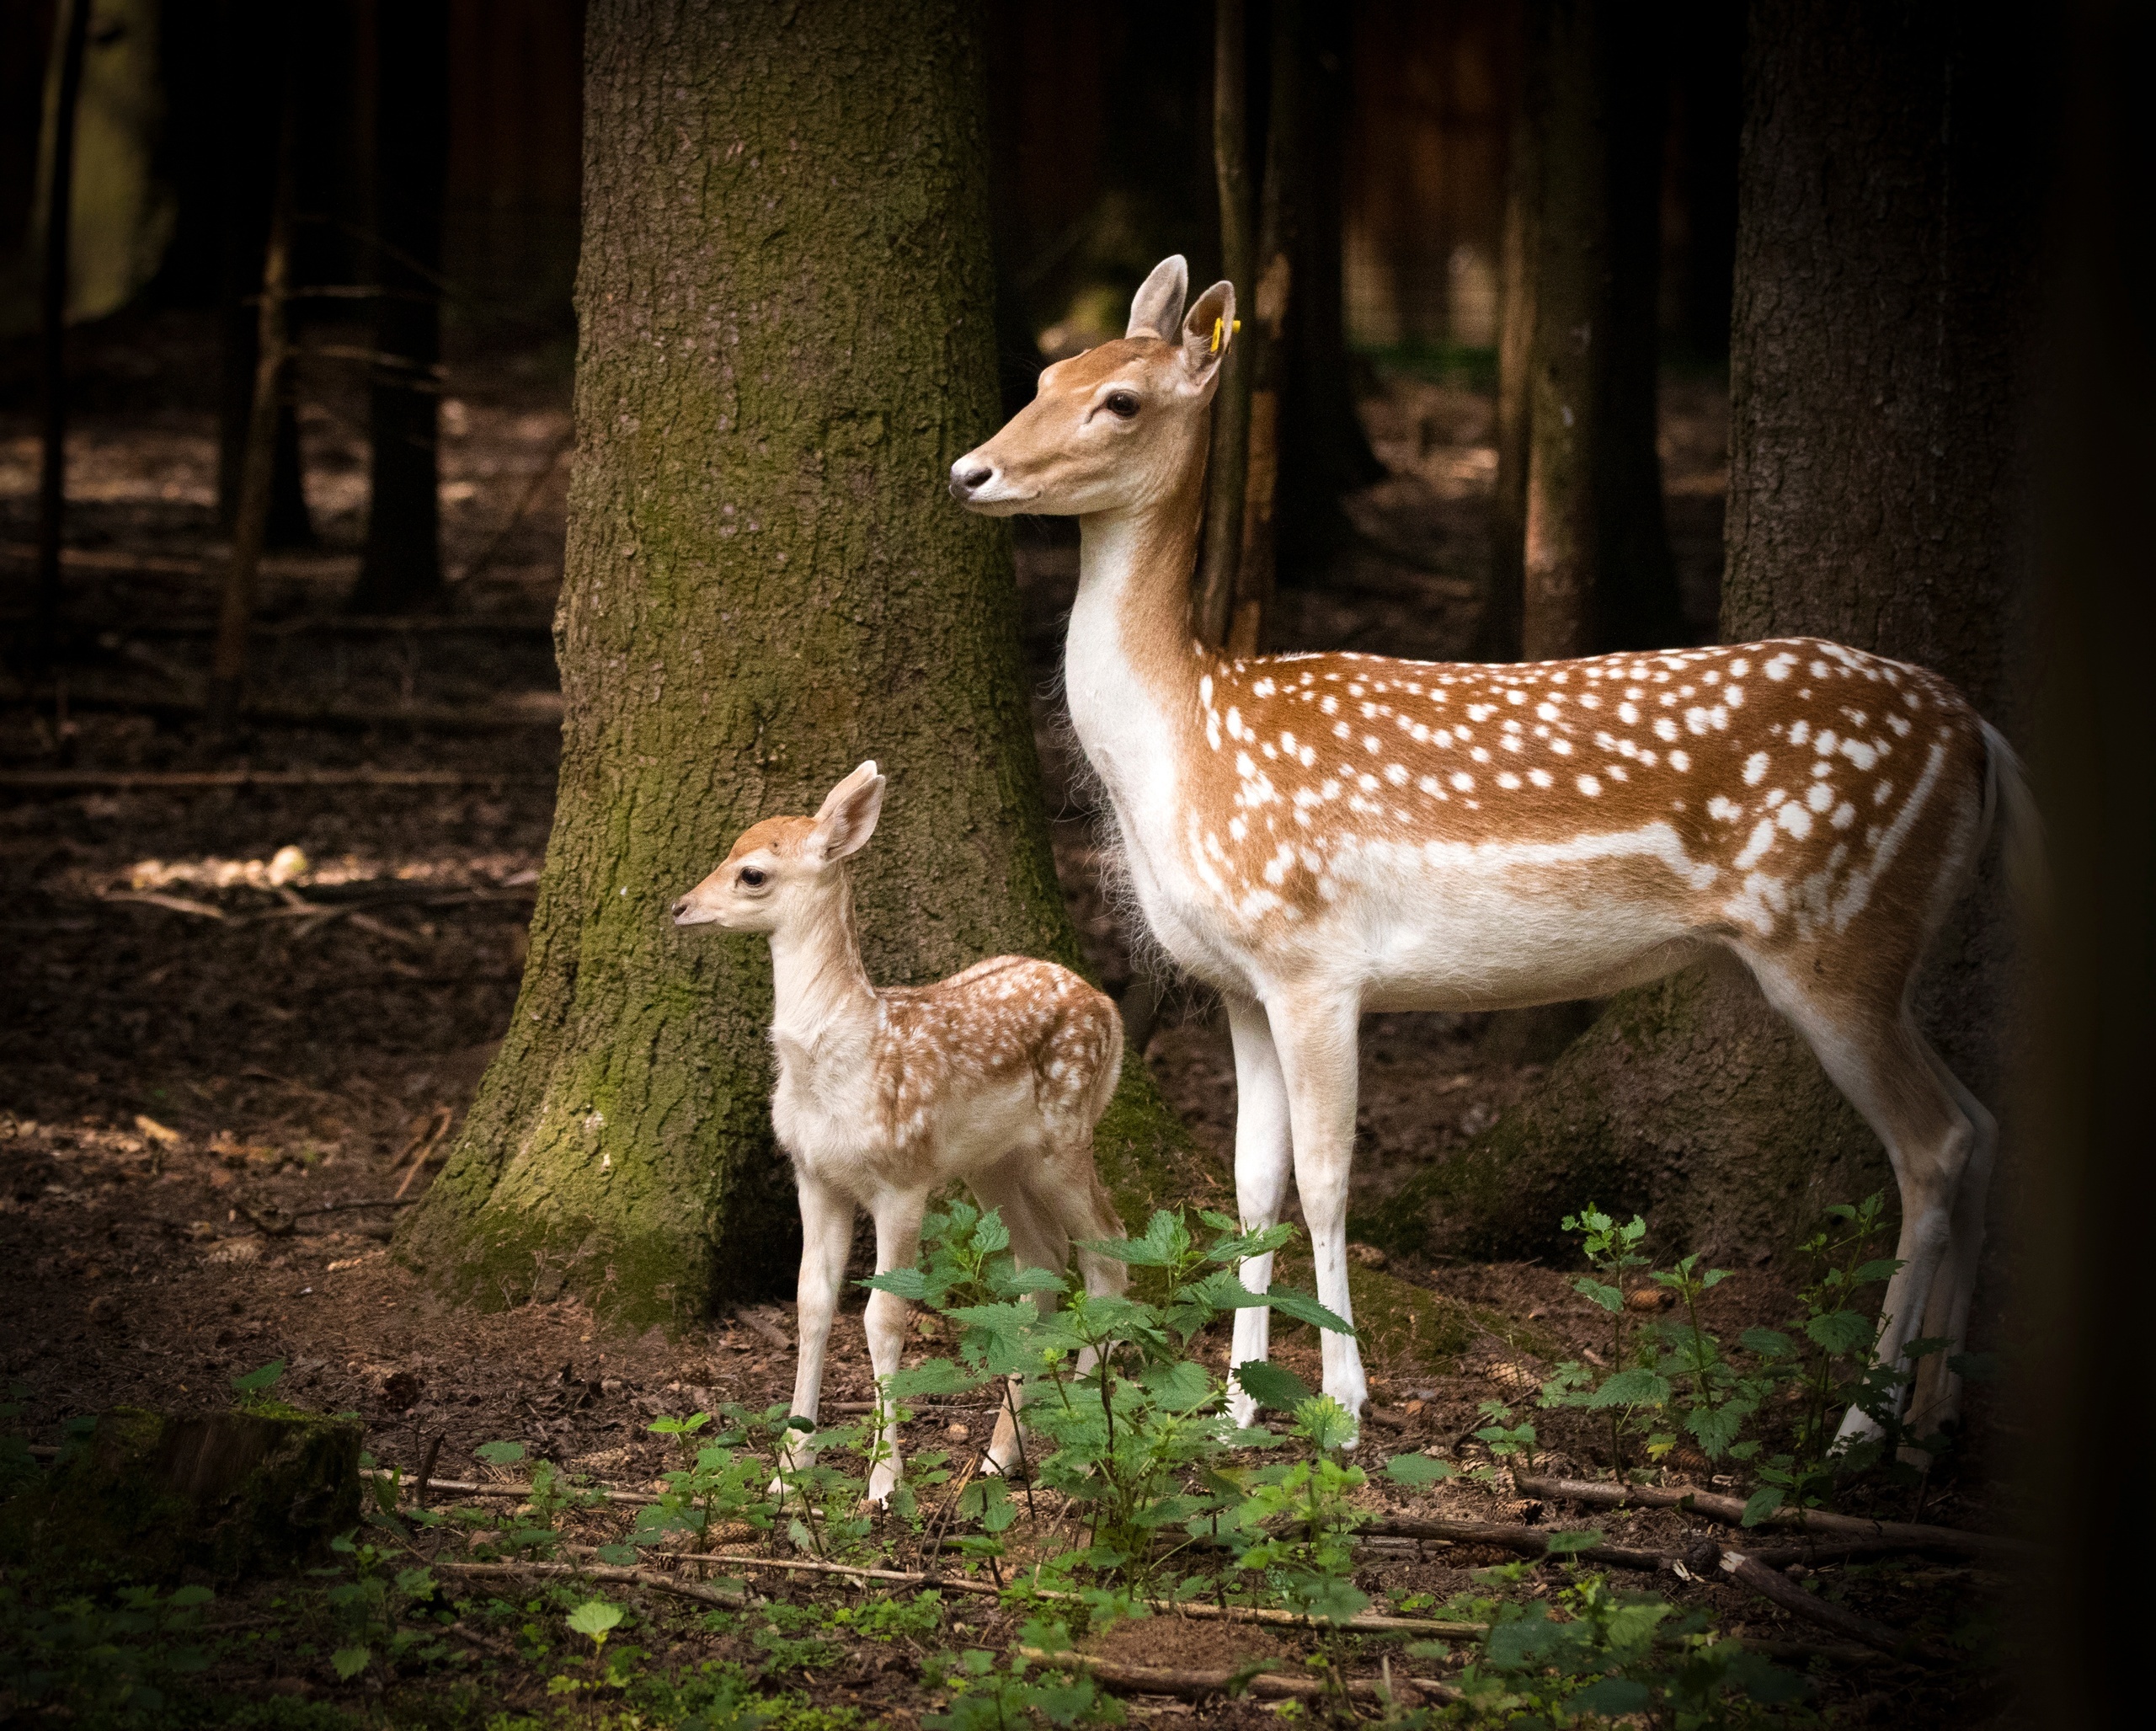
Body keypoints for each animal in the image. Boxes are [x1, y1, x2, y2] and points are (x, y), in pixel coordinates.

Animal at [948, 257, 2035, 1448]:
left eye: (1120, 400)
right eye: (1047, 373)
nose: (969, 471)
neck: (1186, 736)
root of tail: (1974, 735)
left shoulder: (1314, 956)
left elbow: (1325, 1180)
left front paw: (1343, 1404)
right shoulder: (1238, 980)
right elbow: (1250, 1186)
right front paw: (1237, 1408)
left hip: (1833, 932)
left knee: (1933, 1147)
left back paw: (1858, 1429)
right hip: (1883, 944)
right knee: (1984, 1124)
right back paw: (1932, 1414)